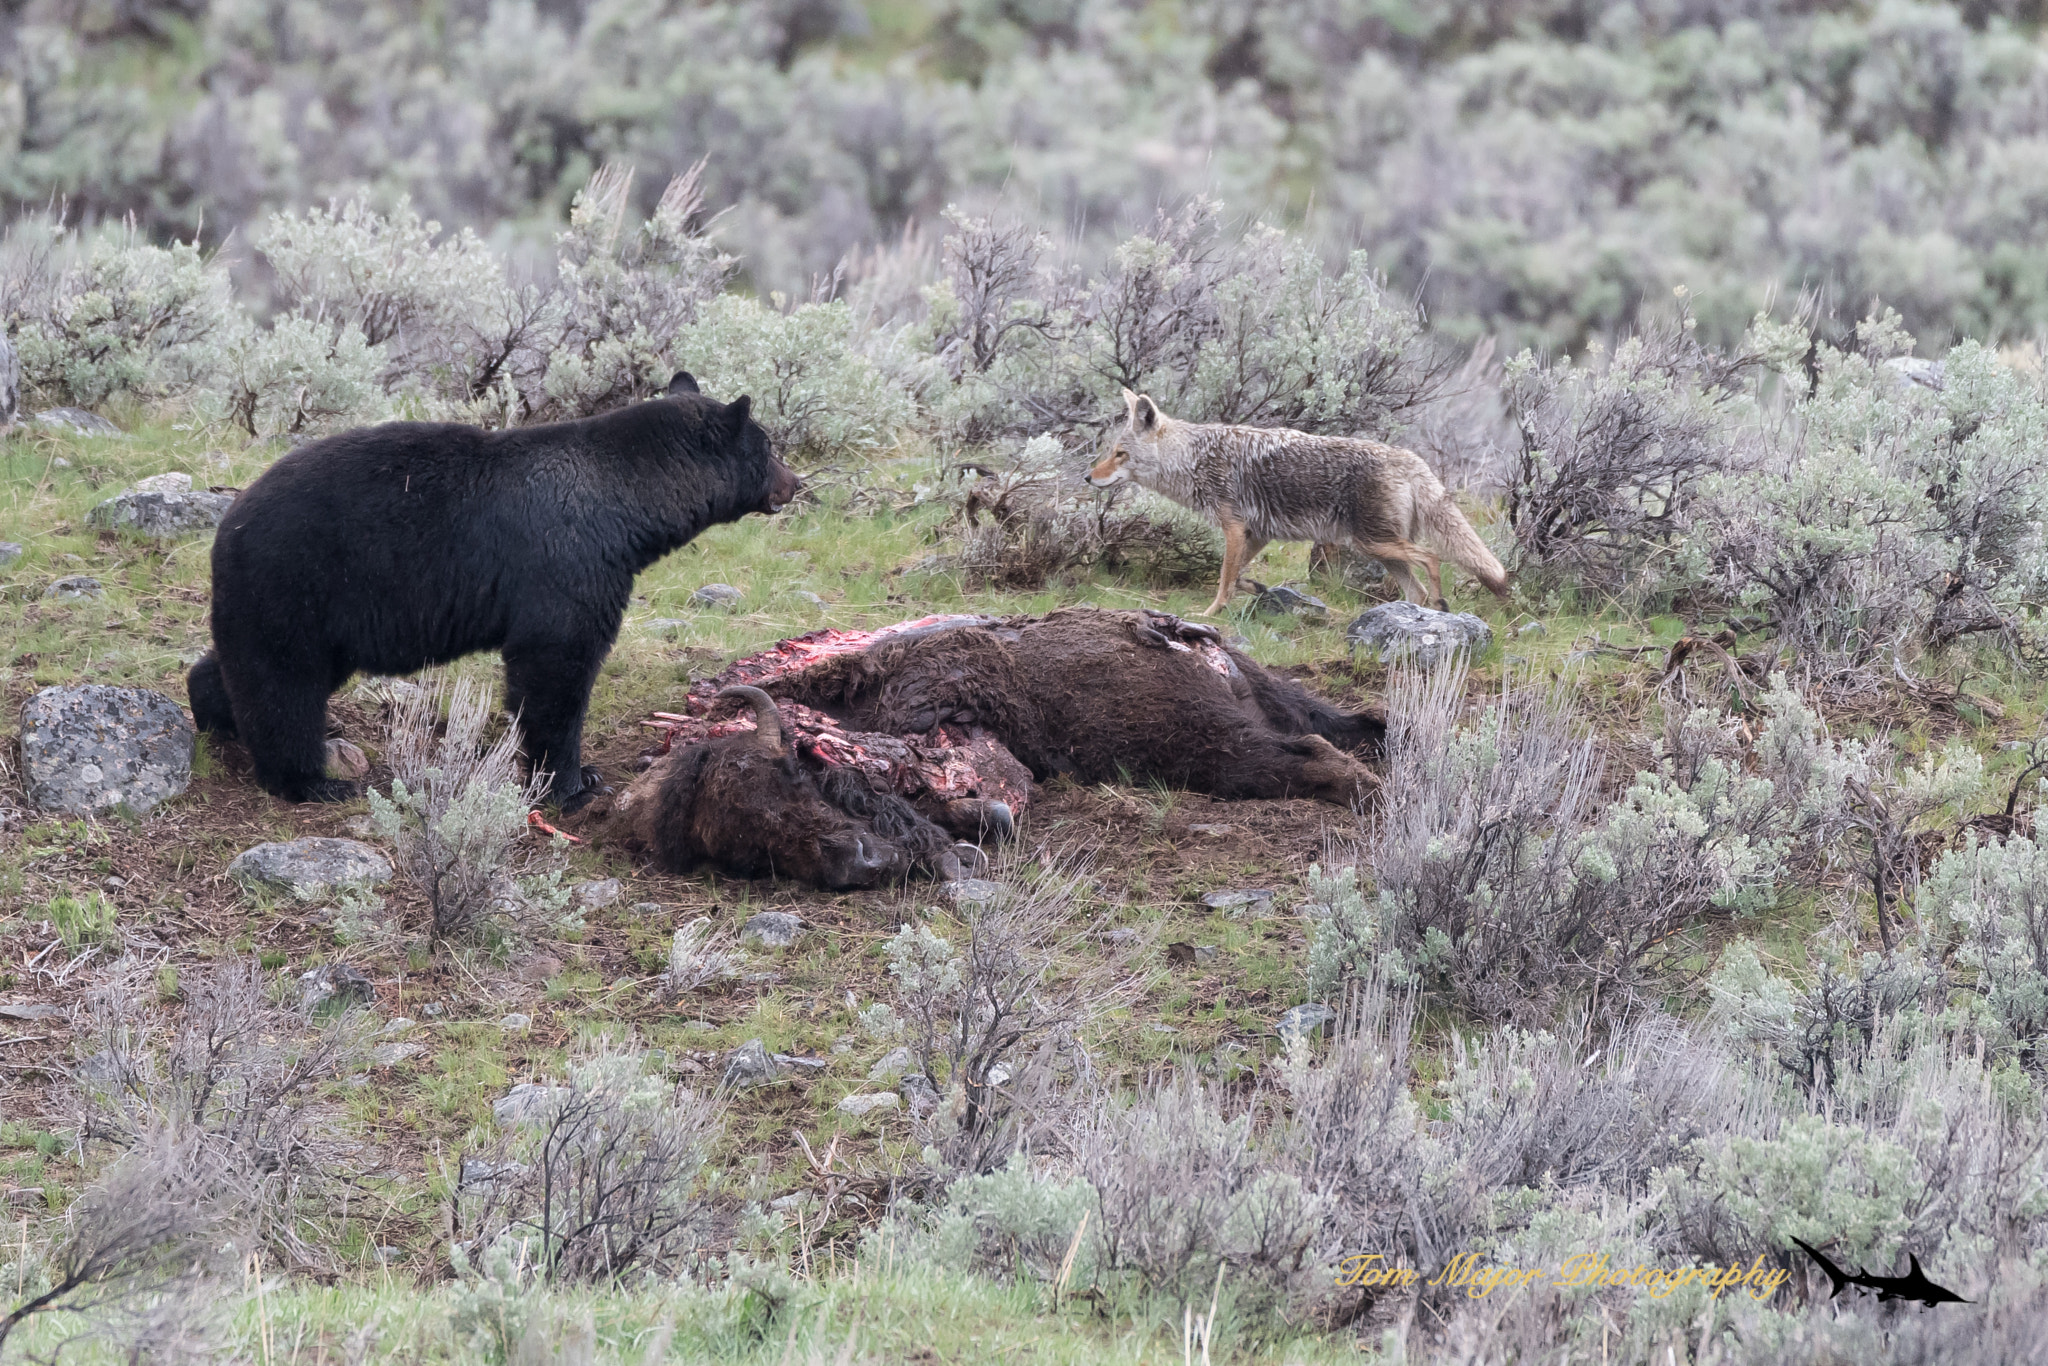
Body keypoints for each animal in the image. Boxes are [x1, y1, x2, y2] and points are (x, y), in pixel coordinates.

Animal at [188, 373, 799, 810]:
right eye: (767, 445)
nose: (794, 483)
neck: (623, 502)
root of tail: (229, 524)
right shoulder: (568, 563)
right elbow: (556, 668)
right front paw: (572, 784)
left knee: (252, 670)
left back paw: (215, 714)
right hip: (299, 585)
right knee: (283, 686)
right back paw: (309, 781)